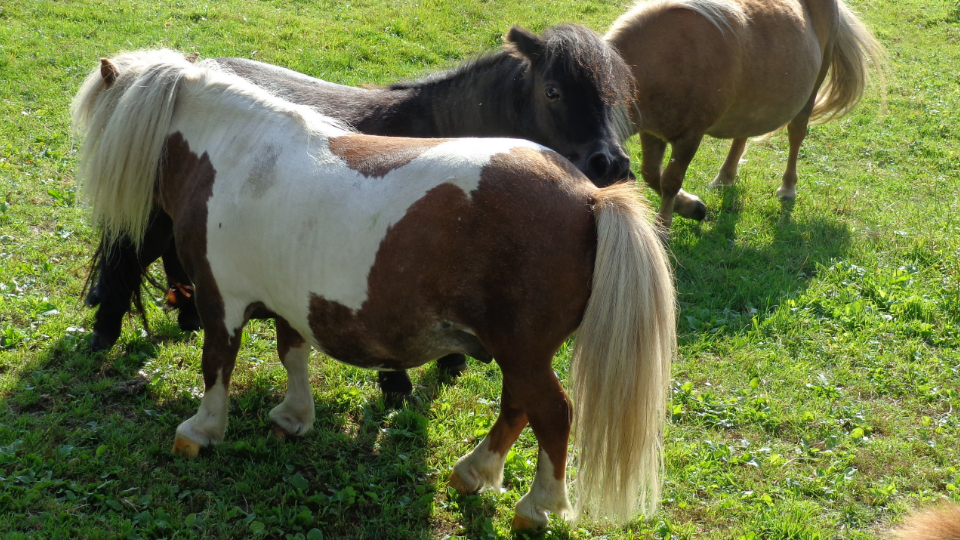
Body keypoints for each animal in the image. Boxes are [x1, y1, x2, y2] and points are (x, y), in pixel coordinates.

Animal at [608, 0, 884, 228]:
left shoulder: (689, 137)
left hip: (813, 87)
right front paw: (691, 207)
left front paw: (664, 228)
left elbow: (669, 182)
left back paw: (787, 188)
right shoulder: (652, 131)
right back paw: (725, 177)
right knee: (743, 133)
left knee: (796, 134)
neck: (668, 58)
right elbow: (650, 173)